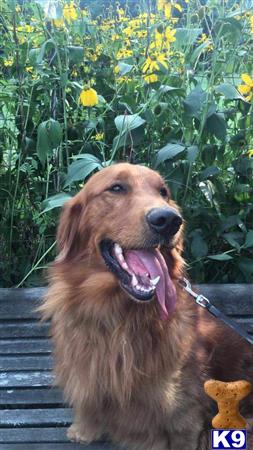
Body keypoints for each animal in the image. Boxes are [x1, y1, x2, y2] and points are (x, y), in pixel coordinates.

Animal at [41, 163, 253, 450]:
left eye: (163, 192)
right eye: (116, 188)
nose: (169, 220)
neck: (118, 316)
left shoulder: (184, 416)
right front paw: (84, 429)